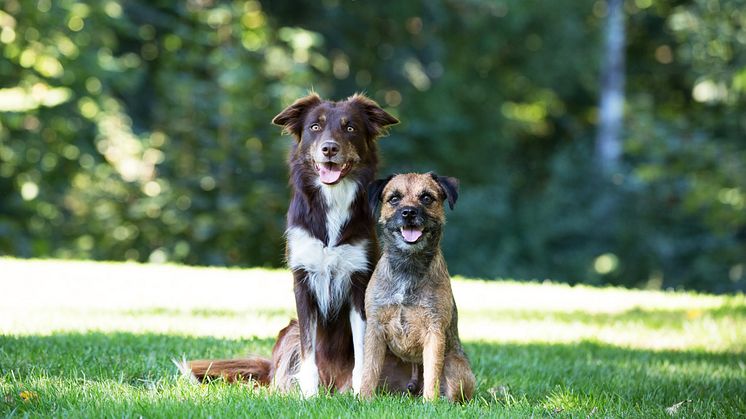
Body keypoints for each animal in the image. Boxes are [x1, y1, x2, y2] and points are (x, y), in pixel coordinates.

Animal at [182, 92, 410, 398]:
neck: (332, 201)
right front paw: (309, 396)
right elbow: (308, 350)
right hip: (288, 331)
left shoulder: (359, 281)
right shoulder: (303, 282)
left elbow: (362, 347)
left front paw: (359, 393)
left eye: (350, 128)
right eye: (315, 126)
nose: (329, 148)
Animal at [358, 172, 474, 402]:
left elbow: (432, 372)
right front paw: (363, 399)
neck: (408, 266)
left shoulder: (434, 330)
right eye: (394, 198)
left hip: (456, 368)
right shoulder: (375, 328)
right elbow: (369, 370)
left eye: (426, 198)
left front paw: (430, 403)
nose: (409, 212)